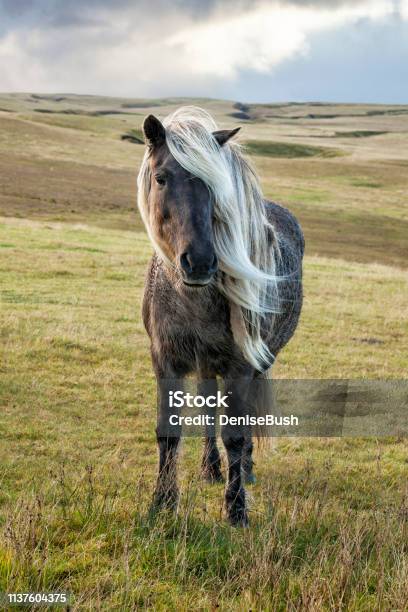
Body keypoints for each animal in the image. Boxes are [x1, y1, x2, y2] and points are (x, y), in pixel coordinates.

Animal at [137, 106, 302, 524]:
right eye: (161, 177)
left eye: (215, 186)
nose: (199, 262)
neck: (191, 298)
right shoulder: (165, 359)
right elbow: (169, 430)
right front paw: (162, 503)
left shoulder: (241, 364)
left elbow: (237, 433)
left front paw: (236, 508)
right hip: (206, 363)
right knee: (209, 410)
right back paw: (210, 468)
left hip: (258, 360)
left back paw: (246, 470)